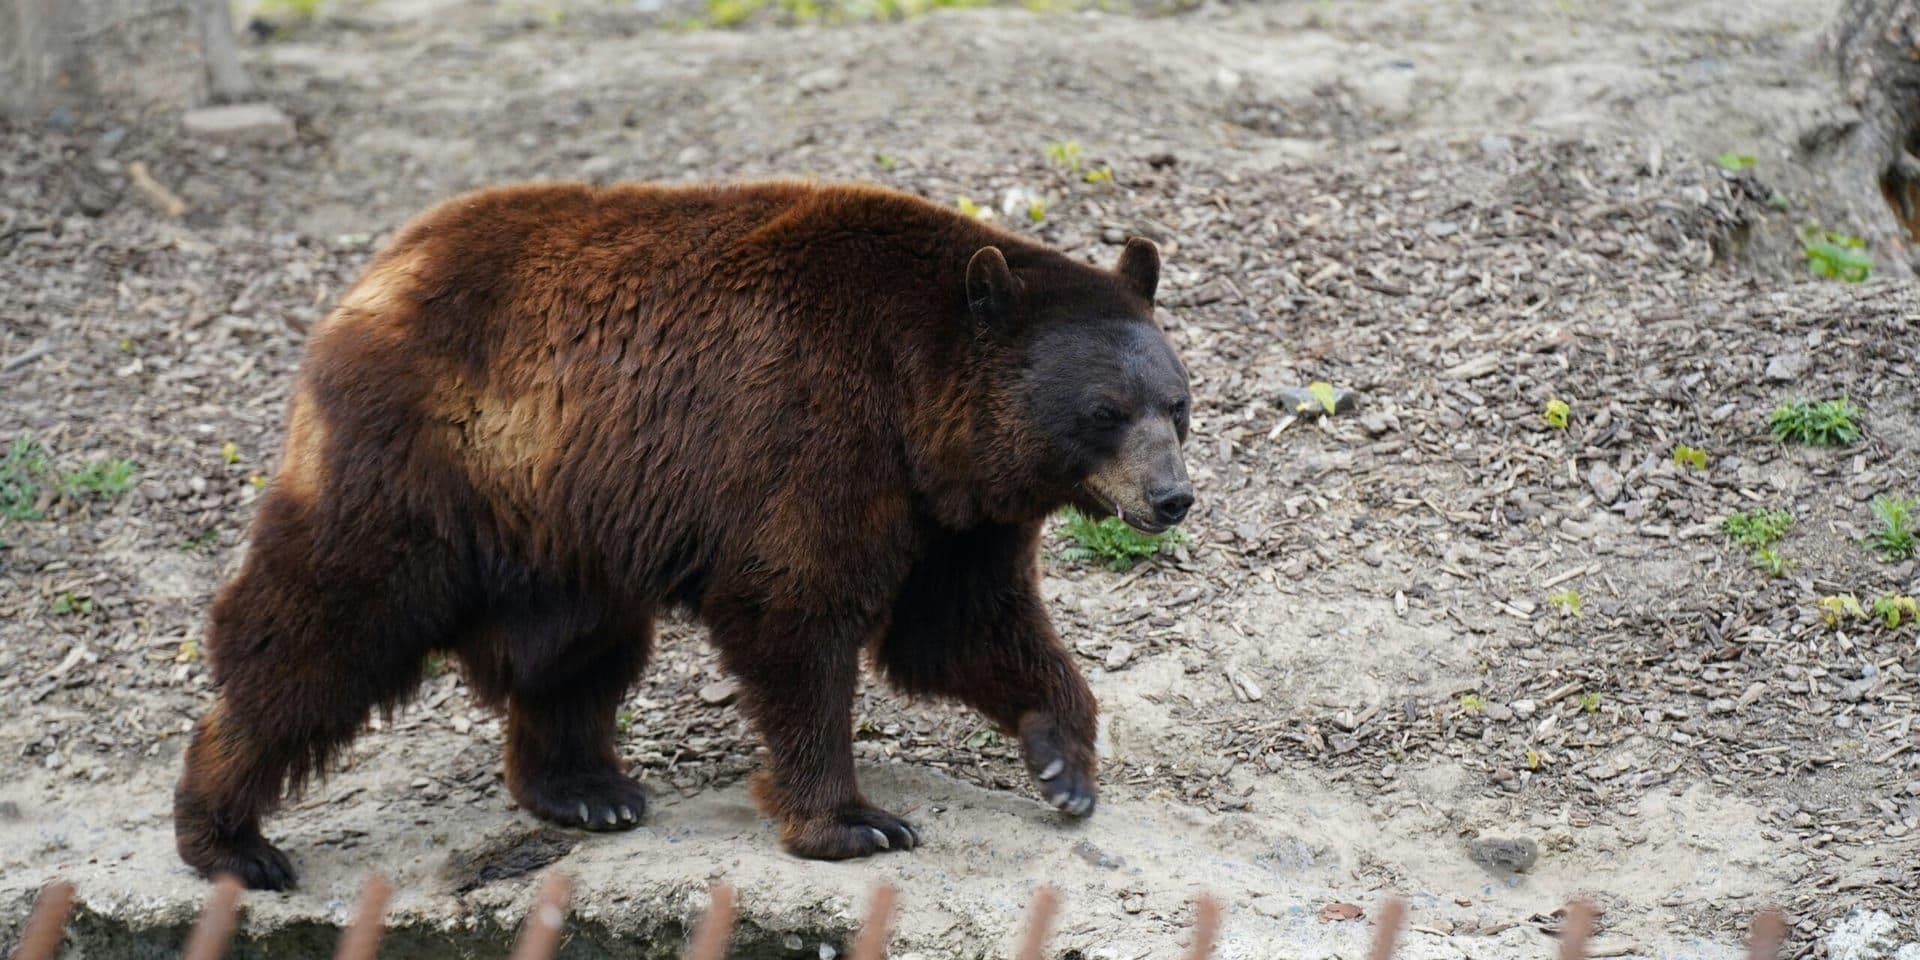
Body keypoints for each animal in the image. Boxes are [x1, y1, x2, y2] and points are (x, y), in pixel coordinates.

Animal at [173, 179, 1194, 890]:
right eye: (1106, 411)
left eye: (1178, 403)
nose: (1172, 497)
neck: (921, 408)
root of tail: (374, 272)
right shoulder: (811, 434)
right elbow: (796, 615)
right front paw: (855, 821)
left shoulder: (953, 517)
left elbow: (963, 628)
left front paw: (1063, 761)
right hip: (421, 465)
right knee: (325, 622)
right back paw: (228, 836)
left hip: (562, 526)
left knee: (575, 650)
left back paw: (586, 788)